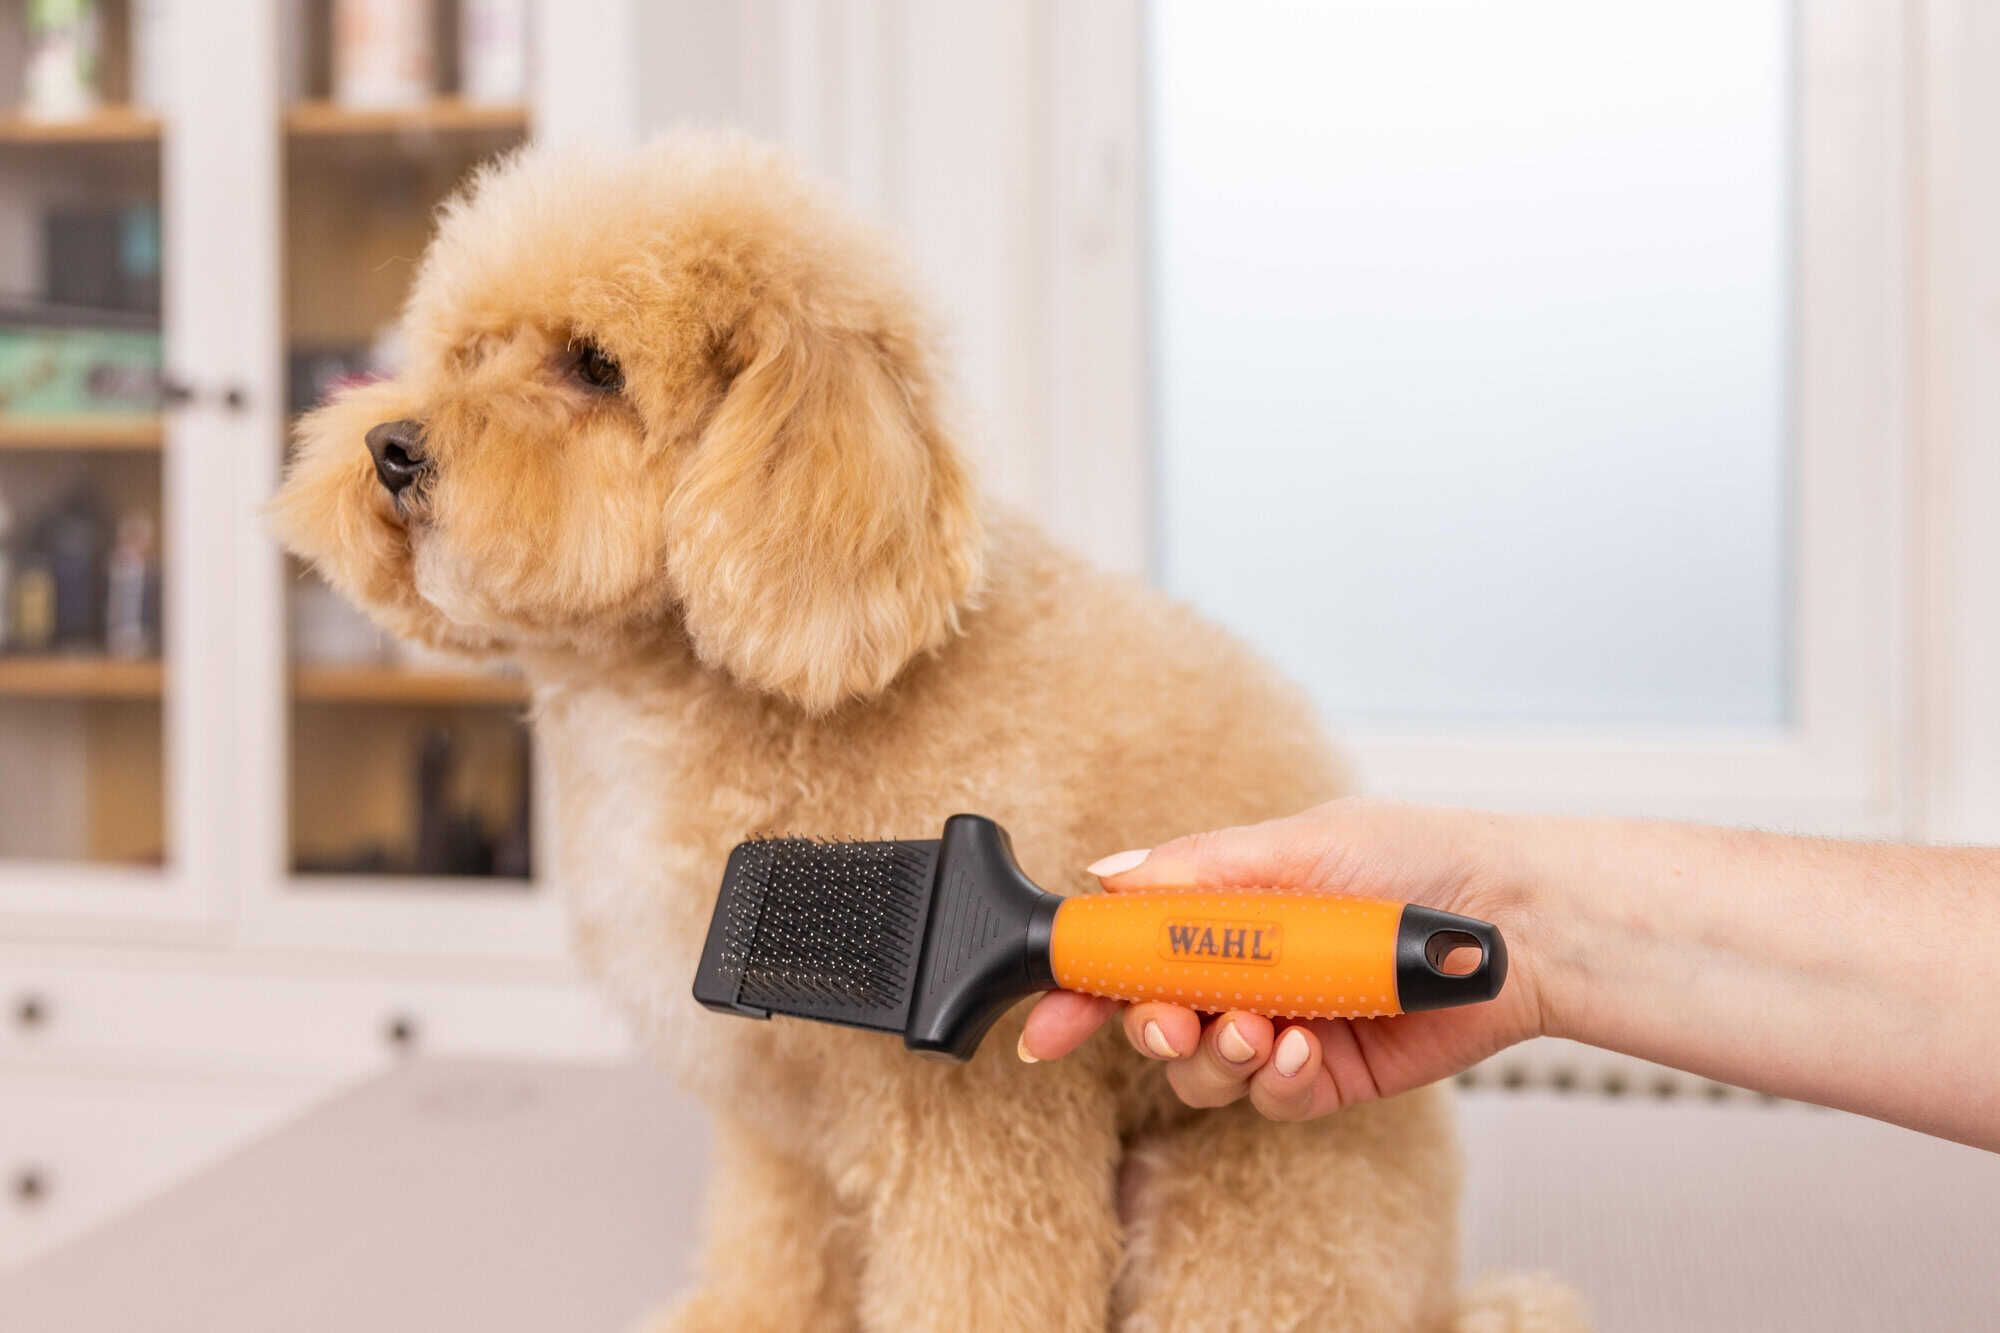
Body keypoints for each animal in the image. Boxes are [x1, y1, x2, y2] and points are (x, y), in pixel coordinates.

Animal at [273, 132, 1581, 1332]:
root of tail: (1440, 1299)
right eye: (464, 350)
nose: (389, 447)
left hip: (1247, 1218)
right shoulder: (778, 1130)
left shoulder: (976, 1136)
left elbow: (973, 1285)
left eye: (593, 365)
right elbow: (769, 1262)